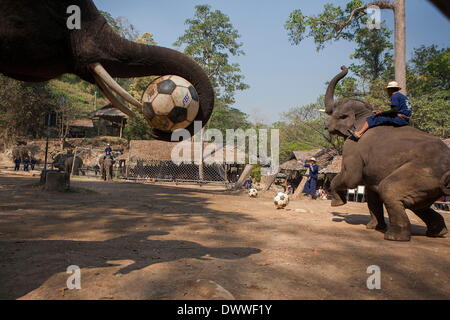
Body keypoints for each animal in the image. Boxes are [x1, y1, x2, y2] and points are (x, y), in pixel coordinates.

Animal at [326, 65, 448, 240]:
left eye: (336, 113)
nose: (343, 66)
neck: (363, 115)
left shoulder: (352, 146)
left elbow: (351, 178)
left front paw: (337, 203)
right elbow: (371, 193)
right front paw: (373, 227)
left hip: (423, 172)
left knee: (389, 190)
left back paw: (394, 237)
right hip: (430, 184)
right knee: (418, 205)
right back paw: (437, 233)